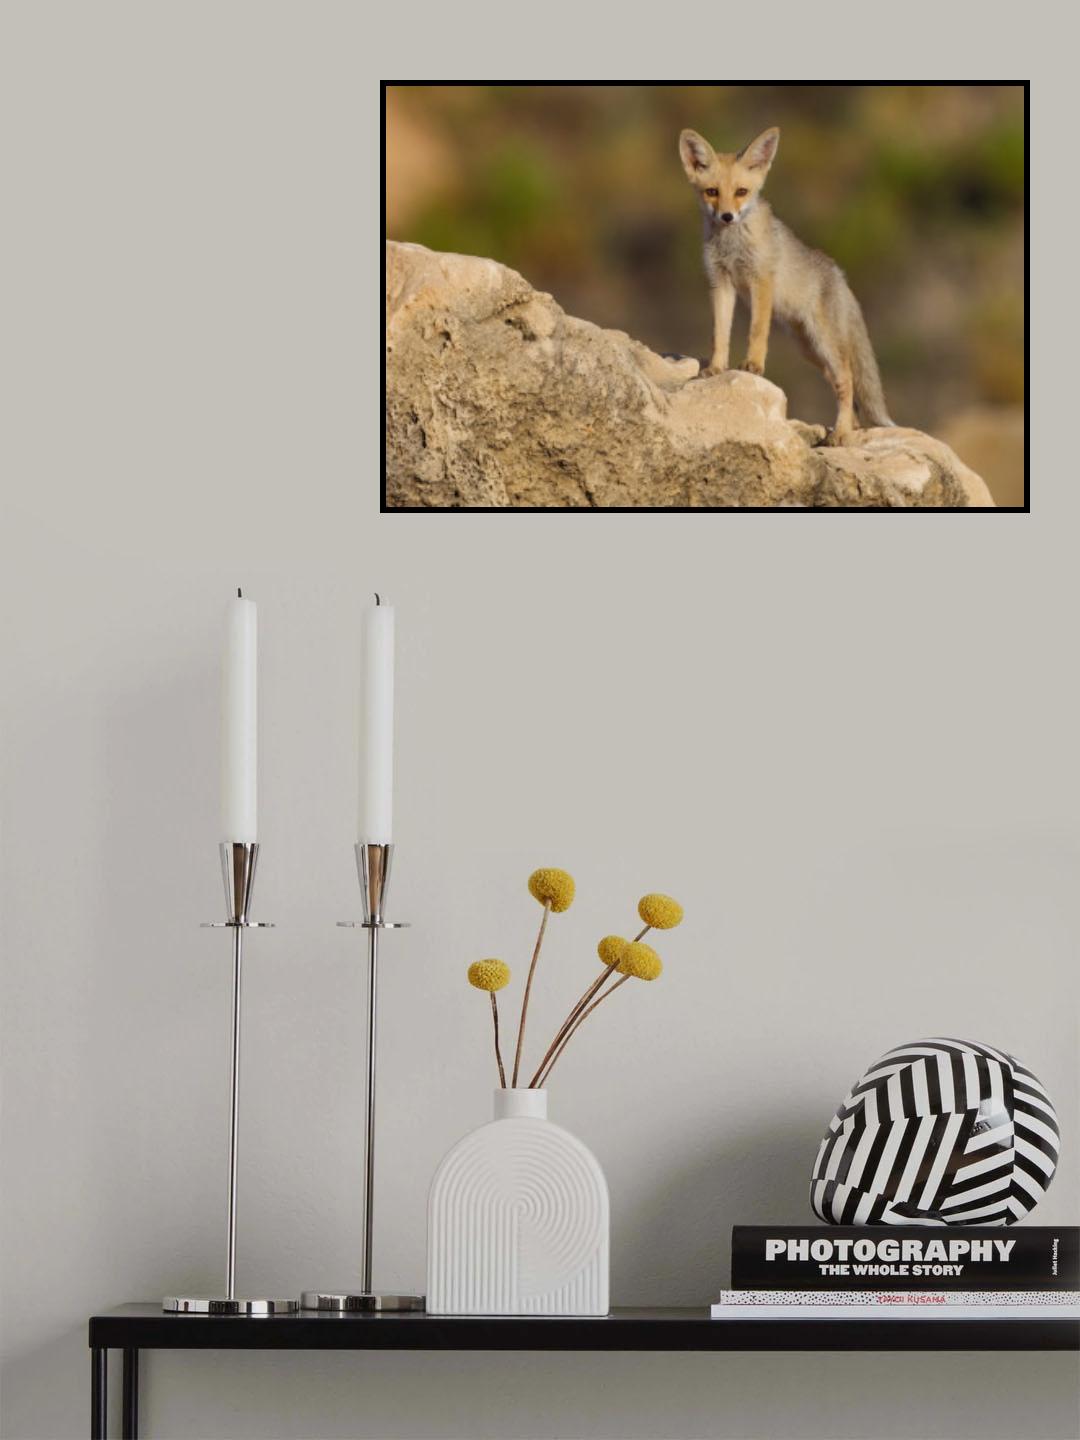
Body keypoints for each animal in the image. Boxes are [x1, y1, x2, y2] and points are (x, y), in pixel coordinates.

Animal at [678, 125, 893, 445]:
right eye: (712, 192)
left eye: (741, 192)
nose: (727, 216)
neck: (732, 245)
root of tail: (840, 275)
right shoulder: (721, 283)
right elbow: (719, 334)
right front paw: (716, 368)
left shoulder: (761, 280)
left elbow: (756, 331)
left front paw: (753, 366)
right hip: (811, 351)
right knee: (844, 388)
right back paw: (848, 427)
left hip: (824, 343)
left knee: (848, 380)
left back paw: (842, 433)